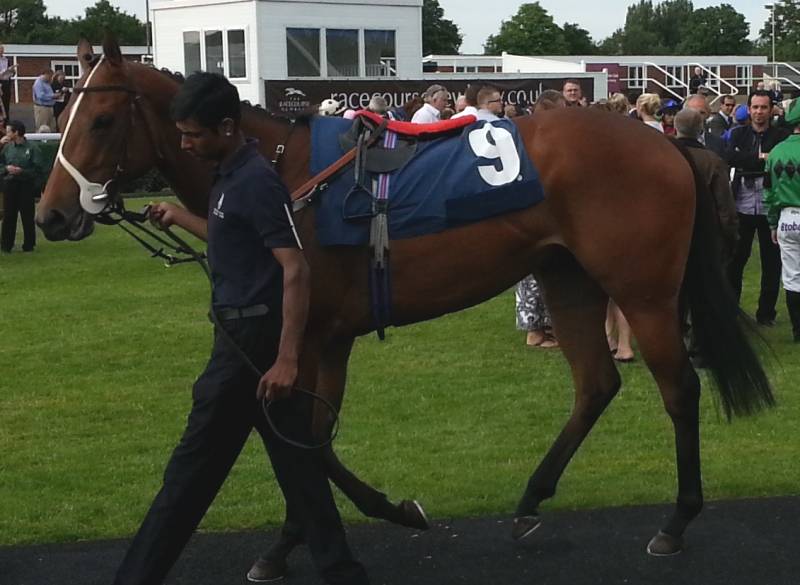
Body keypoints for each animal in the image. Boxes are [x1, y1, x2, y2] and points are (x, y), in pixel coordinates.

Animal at [36, 37, 774, 573]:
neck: (283, 174)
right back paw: (532, 498)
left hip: (642, 290)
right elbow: (310, 437)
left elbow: (305, 437)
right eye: (64, 118)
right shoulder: (325, 338)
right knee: (596, 384)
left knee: (679, 388)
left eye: (102, 119)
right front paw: (299, 537)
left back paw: (675, 521)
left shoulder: (309, 336)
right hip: (566, 277)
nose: (50, 216)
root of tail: (667, 141)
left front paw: (363, 520)